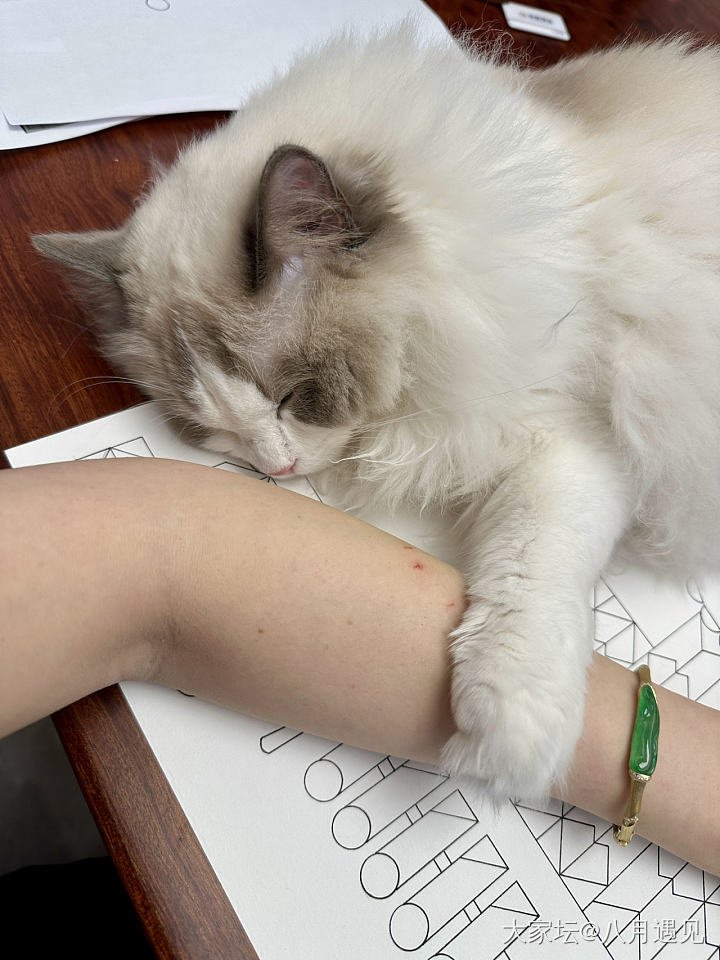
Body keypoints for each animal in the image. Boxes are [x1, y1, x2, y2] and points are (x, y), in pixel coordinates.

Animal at [33, 25, 720, 807]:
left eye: (293, 395)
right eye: (208, 429)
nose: (276, 468)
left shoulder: (573, 432)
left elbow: (528, 576)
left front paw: (505, 744)